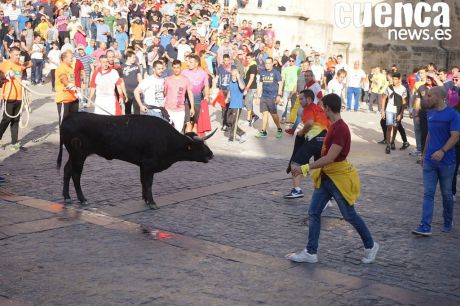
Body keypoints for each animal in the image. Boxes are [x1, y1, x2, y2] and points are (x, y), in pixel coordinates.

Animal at [57, 112, 216, 210]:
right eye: (200, 145)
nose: (211, 154)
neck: (166, 139)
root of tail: (69, 117)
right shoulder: (149, 164)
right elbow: (149, 183)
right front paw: (152, 202)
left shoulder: (142, 165)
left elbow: (143, 182)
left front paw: (145, 199)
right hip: (79, 155)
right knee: (75, 174)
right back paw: (82, 199)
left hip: (75, 155)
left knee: (67, 170)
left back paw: (67, 196)